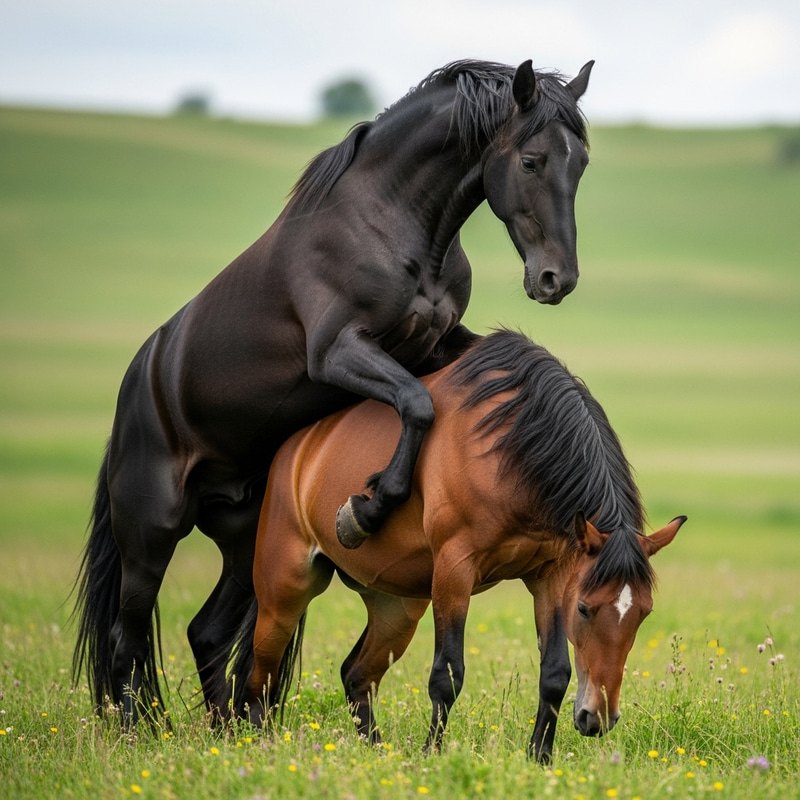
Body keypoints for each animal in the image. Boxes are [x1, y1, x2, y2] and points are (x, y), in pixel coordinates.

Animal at [73, 59, 595, 725]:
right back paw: (140, 732)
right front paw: (364, 512)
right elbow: (416, 404)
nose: (557, 279)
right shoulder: (338, 352)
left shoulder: (438, 344)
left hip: (243, 540)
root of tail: (138, 384)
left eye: (580, 164)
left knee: (206, 634)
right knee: (127, 638)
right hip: (149, 532)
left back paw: (222, 730)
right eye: (531, 160)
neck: (389, 223)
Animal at [246, 330, 685, 762]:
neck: (511, 449)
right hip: (284, 596)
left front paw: (539, 758)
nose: (598, 718)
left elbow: (555, 673)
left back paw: (379, 753)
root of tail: (295, 450)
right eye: (584, 609)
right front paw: (432, 755)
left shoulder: (552, 576)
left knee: (356, 676)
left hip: (396, 610)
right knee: (260, 677)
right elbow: (448, 674)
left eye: (644, 613)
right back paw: (256, 743)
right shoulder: (455, 569)